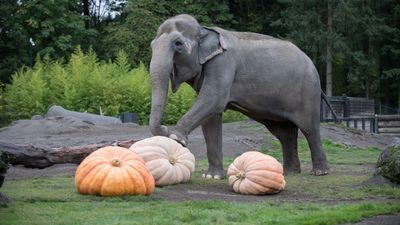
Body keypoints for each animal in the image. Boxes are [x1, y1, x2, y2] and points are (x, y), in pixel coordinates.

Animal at [148, 14, 332, 179]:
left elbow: (212, 100)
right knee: (284, 133)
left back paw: (320, 172)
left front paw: (176, 138)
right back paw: (290, 173)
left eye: (178, 44)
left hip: (308, 91)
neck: (204, 30)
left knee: (309, 128)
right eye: (152, 45)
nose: (164, 128)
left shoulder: (223, 63)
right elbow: (211, 116)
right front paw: (212, 177)